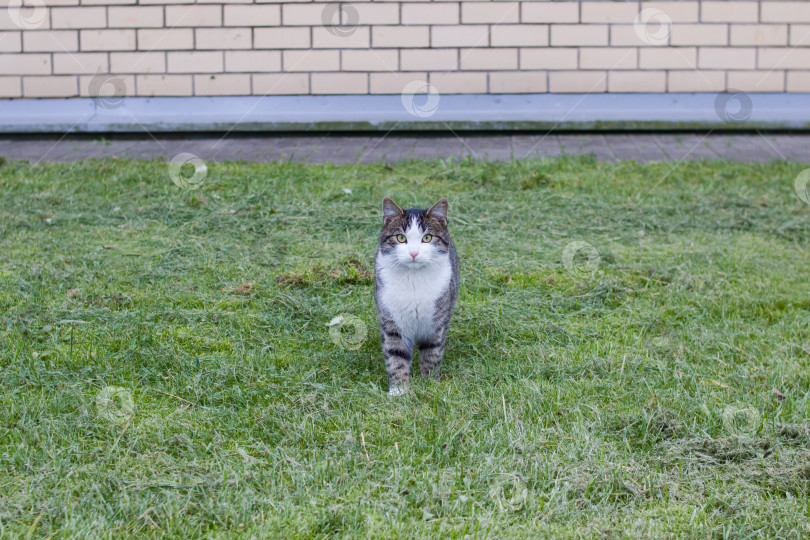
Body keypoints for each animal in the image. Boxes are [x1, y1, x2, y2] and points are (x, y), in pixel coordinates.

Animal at [374, 196, 458, 394]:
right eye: (401, 237)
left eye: (427, 238)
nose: (413, 253)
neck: (413, 279)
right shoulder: (392, 320)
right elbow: (396, 355)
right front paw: (399, 390)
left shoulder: (436, 322)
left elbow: (432, 352)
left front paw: (429, 382)